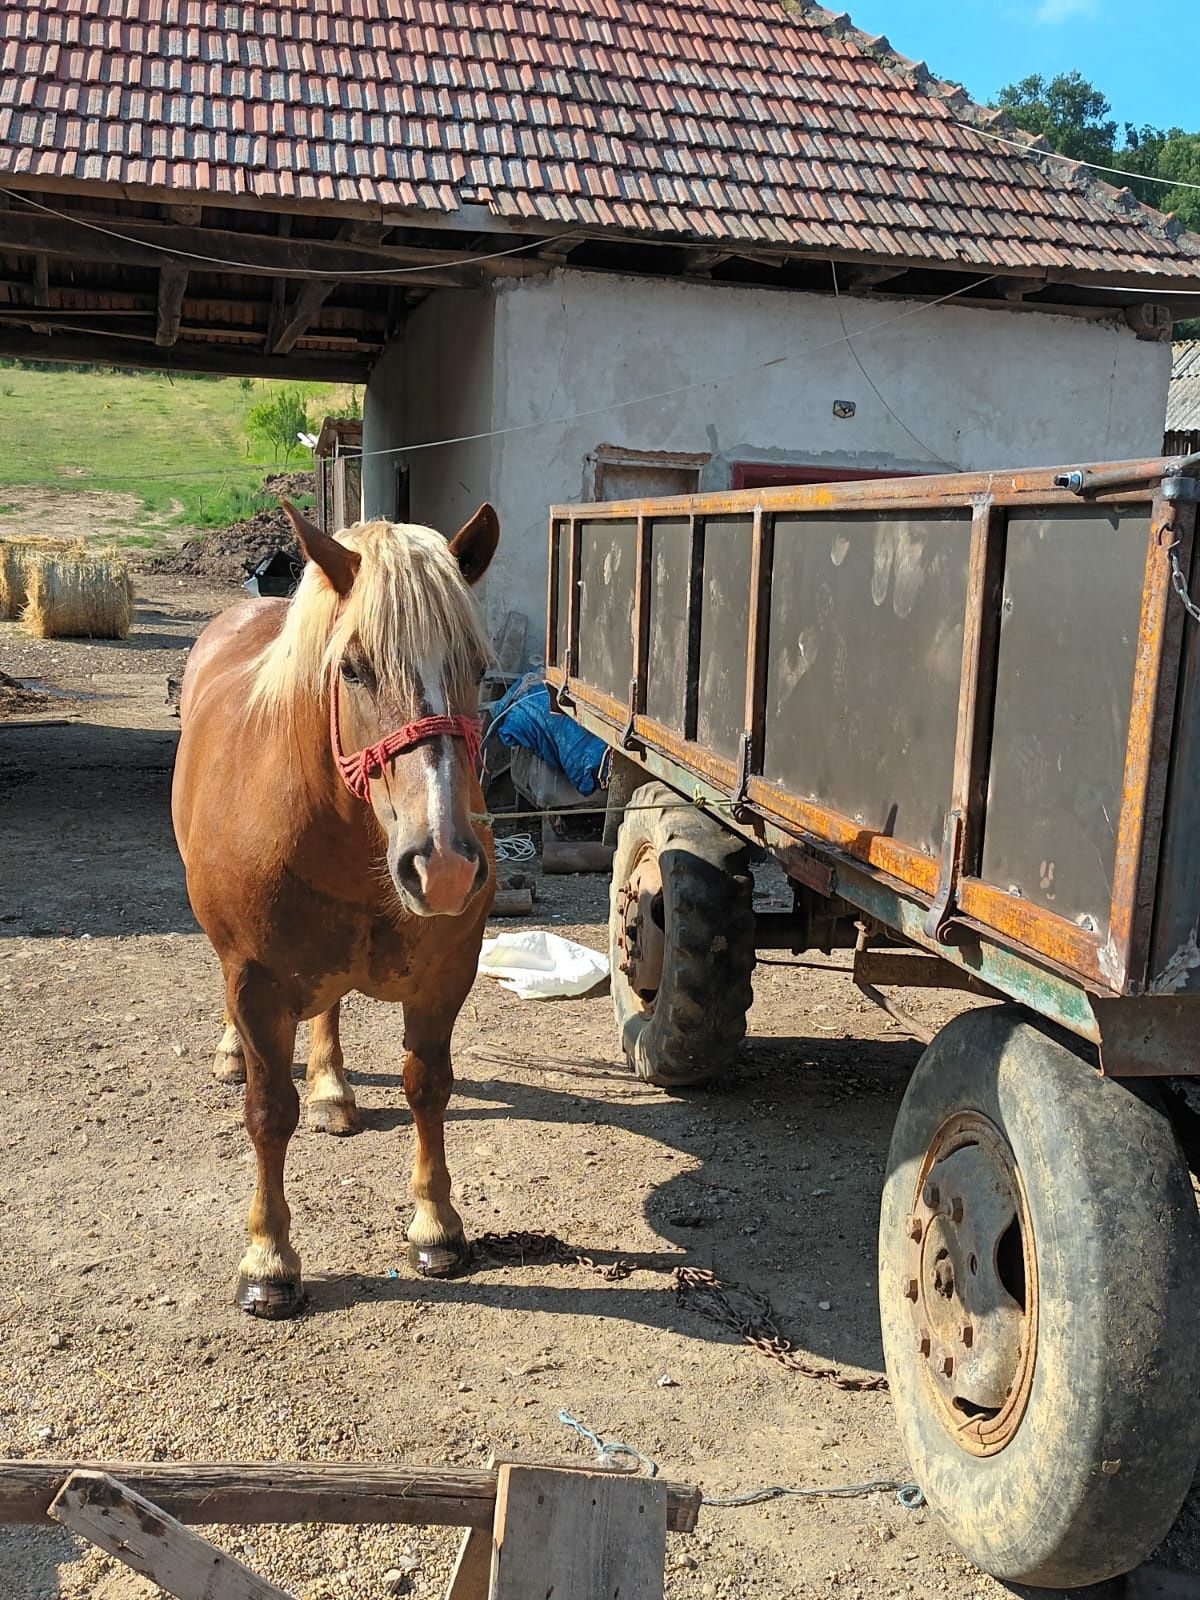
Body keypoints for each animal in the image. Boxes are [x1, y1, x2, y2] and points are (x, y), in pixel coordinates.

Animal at [170, 499, 499, 1312]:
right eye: (351, 668)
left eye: (478, 668)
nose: (445, 867)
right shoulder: (255, 981)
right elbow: (266, 1114)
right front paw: (267, 1259)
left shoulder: (446, 977)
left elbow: (427, 1089)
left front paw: (436, 1224)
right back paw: (235, 1056)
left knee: (328, 1010)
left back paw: (331, 1090)